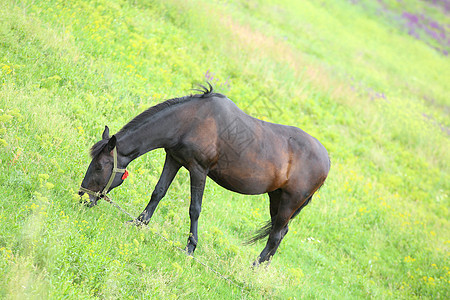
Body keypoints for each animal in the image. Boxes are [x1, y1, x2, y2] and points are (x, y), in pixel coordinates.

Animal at [78, 84, 330, 264]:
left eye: (99, 166)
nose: (83, 196)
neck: (189, 121)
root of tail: (327, 161)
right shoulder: (174, 159)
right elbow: (158, 192)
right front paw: (138, 223)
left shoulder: (198, 170)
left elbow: (194, 209)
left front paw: (190, 248)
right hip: (276, 197)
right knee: (281, 232)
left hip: (289, 201)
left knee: (276, 235)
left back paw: (254, 268)